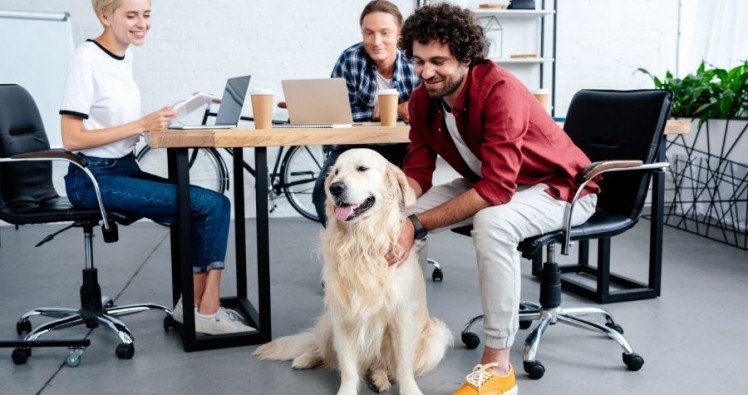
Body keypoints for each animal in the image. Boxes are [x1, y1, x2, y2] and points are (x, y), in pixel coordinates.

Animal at [254, 149, 450, 395]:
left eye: (362, 168)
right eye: (336, 171)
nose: (334, 188)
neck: (361, 242)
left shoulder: (402, 314)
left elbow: (403, 365)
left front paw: (409, 390)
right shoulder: (343, 315)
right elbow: (347, 364)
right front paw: (346, 390)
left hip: (436, 335)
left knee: (382, 364)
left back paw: (380, 378)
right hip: (328, 322)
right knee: (321, 348)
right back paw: (306, 358)